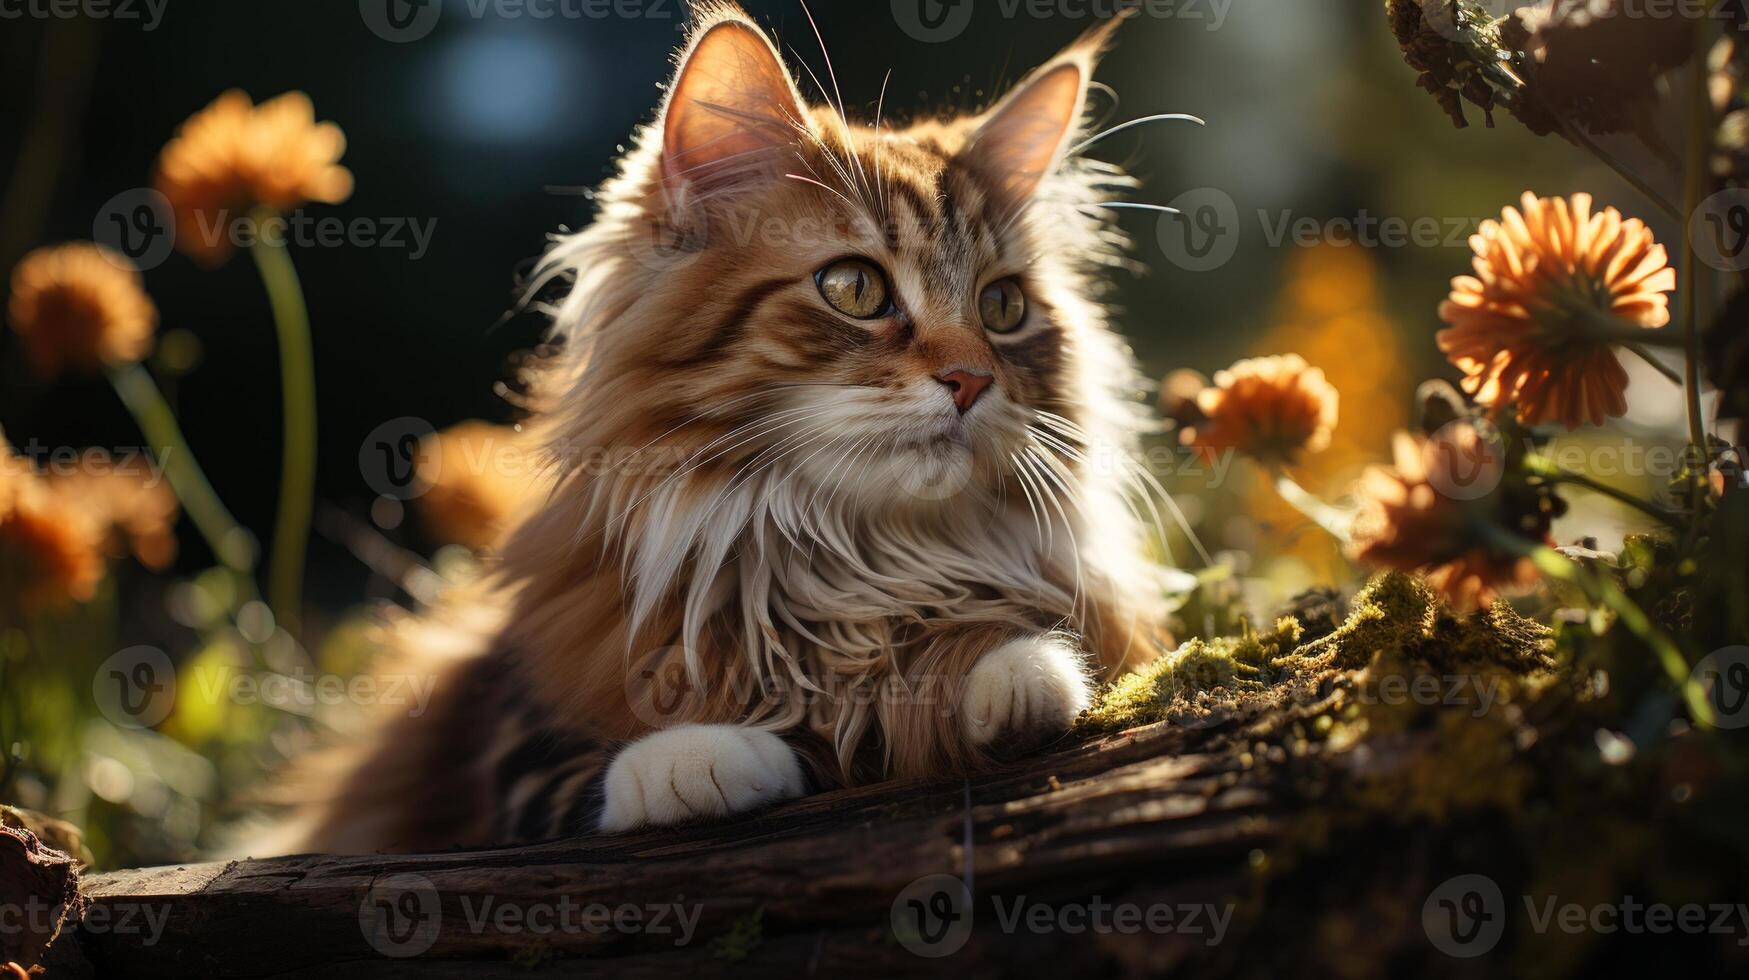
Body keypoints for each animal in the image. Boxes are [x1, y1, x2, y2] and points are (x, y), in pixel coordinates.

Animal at [283, 0, 1175, 854]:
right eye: (853, 288)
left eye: (1002, 307)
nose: (971, 380)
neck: (838, 562)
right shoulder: (508, 749)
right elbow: (587, 779)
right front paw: (699, 759)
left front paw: (1013, 669)